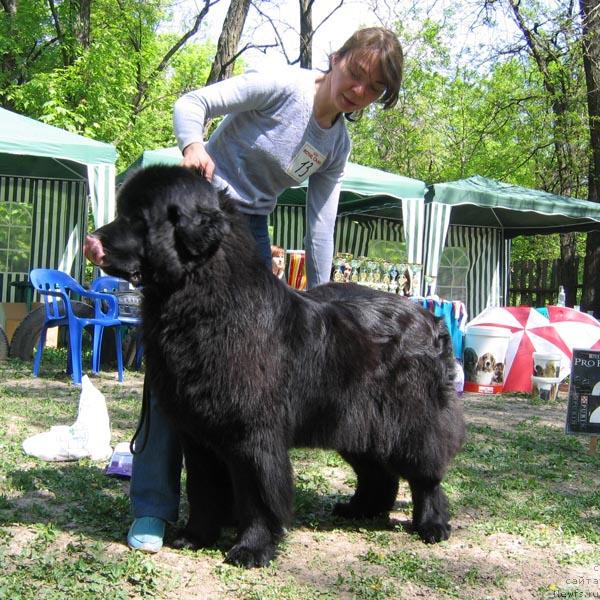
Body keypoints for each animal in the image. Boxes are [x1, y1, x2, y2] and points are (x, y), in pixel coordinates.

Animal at [84, 165, 466, 568]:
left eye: (138, 218)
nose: (92, 240)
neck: (203, 298)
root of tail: (431, 320)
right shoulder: (198, 433)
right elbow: (203, 488)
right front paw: (196, 536)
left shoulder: (252, 434)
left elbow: (258, 493)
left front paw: (252, 548)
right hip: (355, 420)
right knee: (377, 472)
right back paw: (360, 509)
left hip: (410, 421)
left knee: (425, 475)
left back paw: (432, 525)